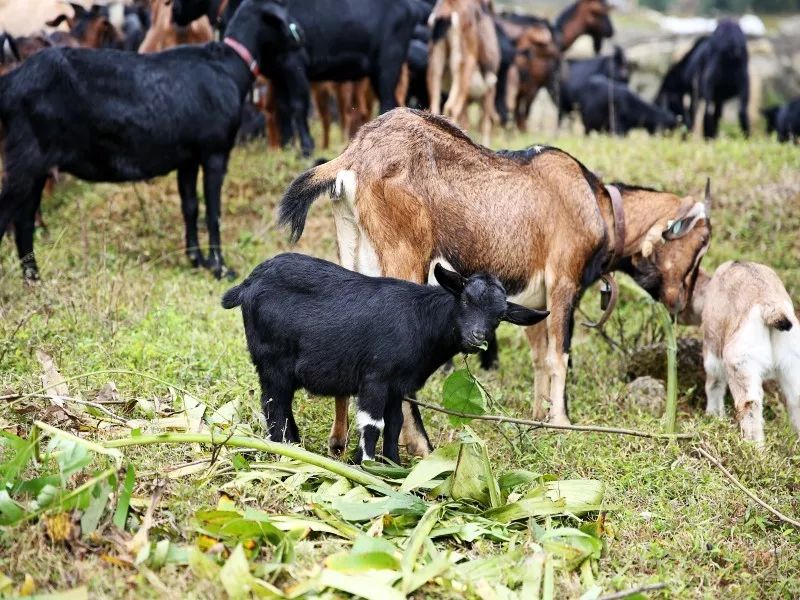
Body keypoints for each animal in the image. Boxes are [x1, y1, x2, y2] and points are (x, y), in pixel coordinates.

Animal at [222, 253, 548, 464]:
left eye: (500, 317)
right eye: (465, 299)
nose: (476, 337)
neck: (421, 321)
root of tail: (248, 284)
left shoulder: (398, 386)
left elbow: (394, 423)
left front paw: (392, 465)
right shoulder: (375, 378)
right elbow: (372, 423)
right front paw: (366, 465)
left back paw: (295, 445)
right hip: (273, 362)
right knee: (274, 405)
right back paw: (285, 449)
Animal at [278, 108, 708, 454]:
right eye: (701, 243)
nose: (682, 306)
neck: (598, 205)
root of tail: (354, 157)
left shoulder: (535, 300)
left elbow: (539, 356)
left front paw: (537, 416)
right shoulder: (563, 282)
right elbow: (560, 355)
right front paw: (562, 423)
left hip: (354, 250)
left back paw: (338, 442)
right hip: (403, 255)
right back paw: (421, 445)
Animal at [696, 262, 796, 446]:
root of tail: (770, 306)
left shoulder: (713, 350)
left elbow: (713, 385)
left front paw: (713, 416)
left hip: (741, 362)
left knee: (749, 403)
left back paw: (753, 448)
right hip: (791, 361)